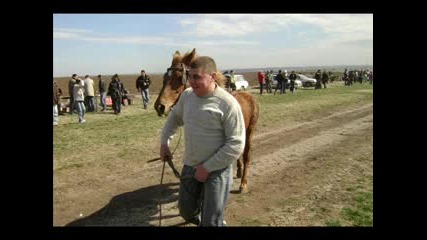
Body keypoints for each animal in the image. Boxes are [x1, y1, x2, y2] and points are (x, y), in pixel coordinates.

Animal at [155, 48, 260, 193]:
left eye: (178, 77)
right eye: (165, 77)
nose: (159, 106)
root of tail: (248, 95)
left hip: (249, 131)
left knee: (246, 156)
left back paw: (243, 183)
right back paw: (239, 172)